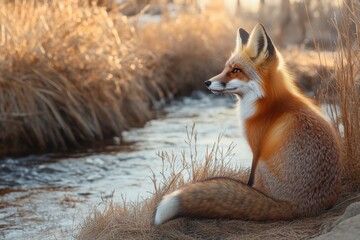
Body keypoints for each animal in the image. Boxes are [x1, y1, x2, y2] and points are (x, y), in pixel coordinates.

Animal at [153, 23, 342, 226]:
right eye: (225, 68)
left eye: (236, 70)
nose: (207, 82)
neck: (268, 104)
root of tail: (299, 207)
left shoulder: (257, 148)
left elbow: (249, 182)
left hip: (262, 165)